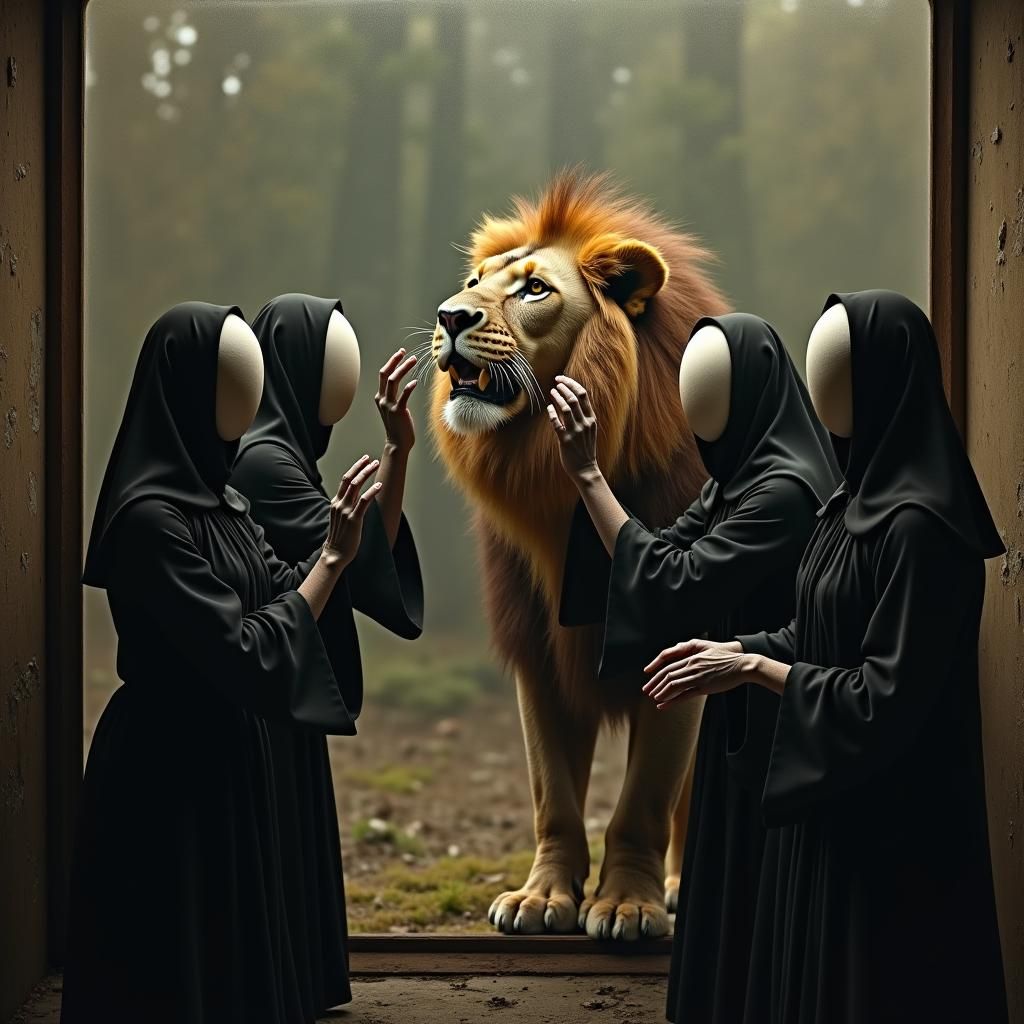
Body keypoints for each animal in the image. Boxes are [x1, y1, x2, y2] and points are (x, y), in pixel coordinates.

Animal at [428, 171, 728, 939]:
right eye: (473, 283)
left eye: (535, 289)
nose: (447, 316)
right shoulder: (537, 648)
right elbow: (554, 794)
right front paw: (542, 898)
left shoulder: (681, 644)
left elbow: (646, 796)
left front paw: (626, 903)